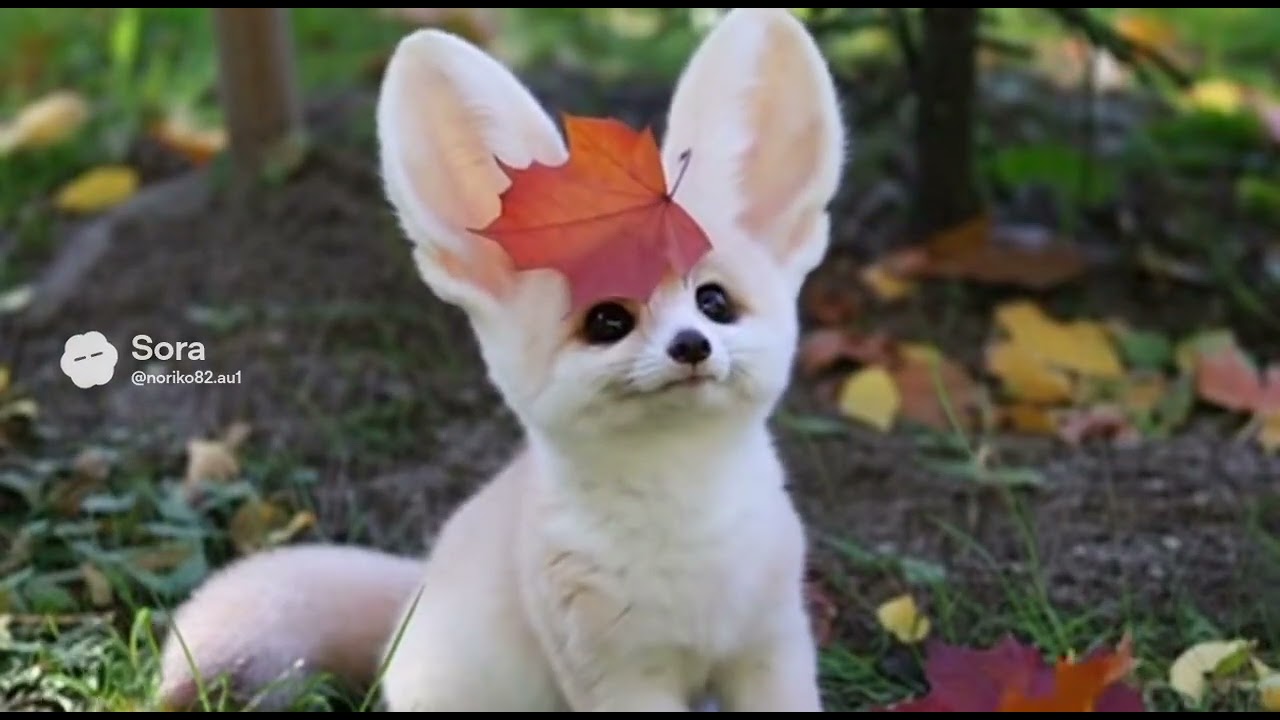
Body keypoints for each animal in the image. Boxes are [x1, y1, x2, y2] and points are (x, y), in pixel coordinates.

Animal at [156, 7, 848, 712]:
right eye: (608, 321)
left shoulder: (773, 645)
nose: (690, 345)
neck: (685, 521)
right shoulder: (618, 674)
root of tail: (416, 589)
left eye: (714, 302)